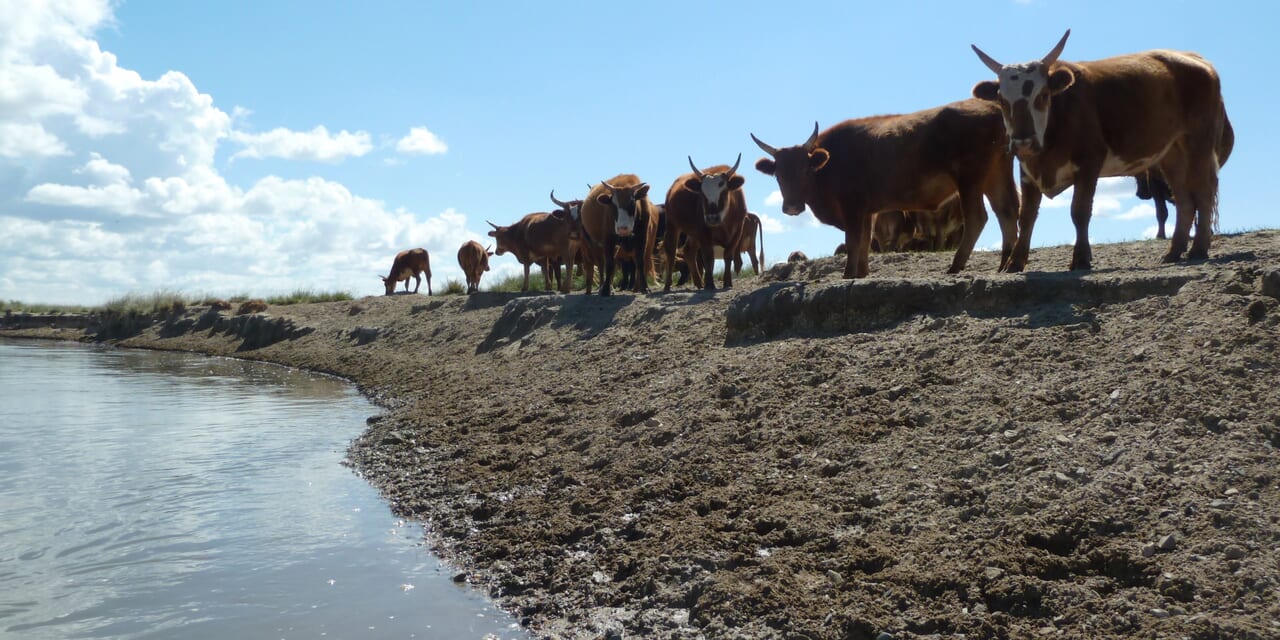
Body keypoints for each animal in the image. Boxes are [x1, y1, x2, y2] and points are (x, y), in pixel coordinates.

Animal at [660, 152, 747, 290]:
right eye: (702, 194)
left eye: (724, 192)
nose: (712, 218)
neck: (724, 222)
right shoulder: (704, 231)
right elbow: (708, 257)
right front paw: (710, 284)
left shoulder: (738, 230)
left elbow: (728, 255)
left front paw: (727, 282)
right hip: (673, 225)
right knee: (671, 251)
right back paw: (668, 285)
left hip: (693, 234)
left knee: (689, 251)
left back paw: (699, 283)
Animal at [747, 102, 1018, 277]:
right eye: (778, 175)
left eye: (805, 170)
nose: (792, 207)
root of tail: (993, 109)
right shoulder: (868, 212)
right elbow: (864, 243)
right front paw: (861, 273)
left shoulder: (853, 209)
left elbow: (854, 241)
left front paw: (848, 274)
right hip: (996, 175)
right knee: (1007, 211)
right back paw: (1007, 264)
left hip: (970, 181)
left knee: (978, 217)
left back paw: (956, 266)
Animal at [972, 28, 1233, 270]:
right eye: (1002, 100)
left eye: (1043, 95)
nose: (1023, 142)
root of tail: (1198, 60)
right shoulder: (1027, 169)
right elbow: (1026, 216)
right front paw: (1014, 263)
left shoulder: (1089, 161)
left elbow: (1079, 211)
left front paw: (1080, 258)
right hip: (1172, 153)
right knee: (1184, 198)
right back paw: (1174, 252)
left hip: (1199, 143)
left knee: (1203, 191)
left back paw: (1198, 248)